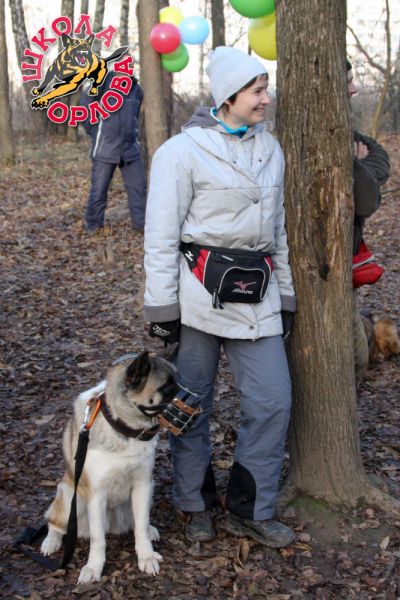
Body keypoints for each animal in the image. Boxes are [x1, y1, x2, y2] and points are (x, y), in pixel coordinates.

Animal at [40, 348, 178, 584]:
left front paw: (146, 556)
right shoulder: (96, 494)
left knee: (137, 522)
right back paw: (51, 542)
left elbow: (141, 525)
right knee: (55, 522)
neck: (123, 427)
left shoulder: (142, 485)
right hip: (70, 498)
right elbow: (98, 539)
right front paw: (93, 568)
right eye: (167, 387)